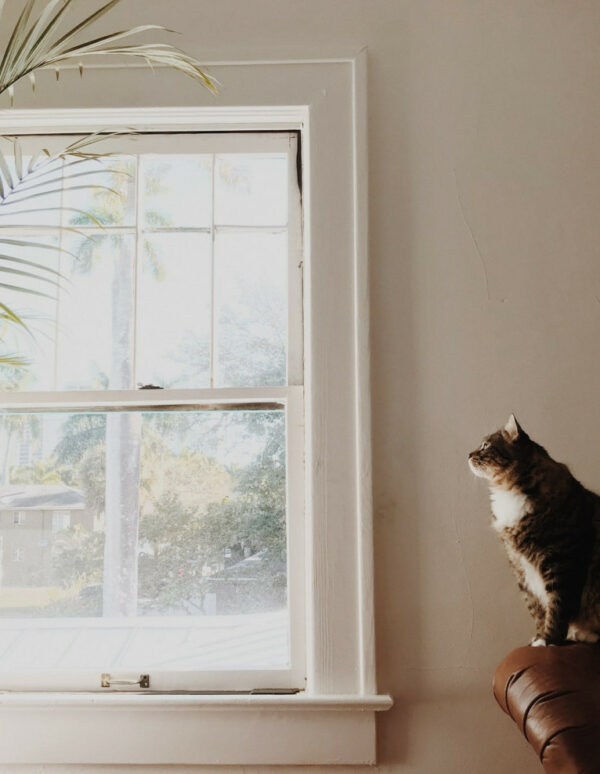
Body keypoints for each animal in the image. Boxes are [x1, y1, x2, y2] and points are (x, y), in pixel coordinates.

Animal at [468, 418, 600, 648]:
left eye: (485, 445)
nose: (468, 454)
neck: (508, 491)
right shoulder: (520, 567)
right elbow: (536, 608)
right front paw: (538, 636)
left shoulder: (561, 561)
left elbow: (557, 607)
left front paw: (549, 640)